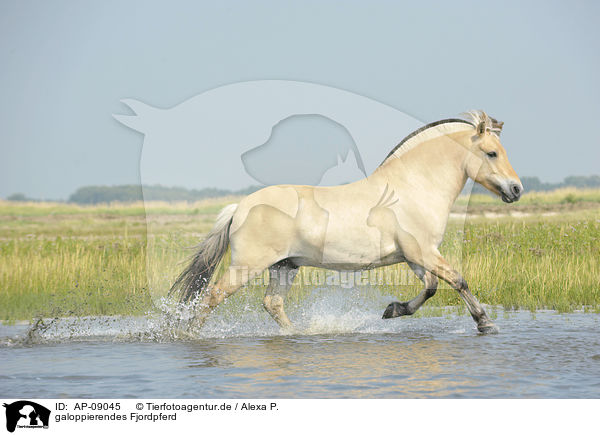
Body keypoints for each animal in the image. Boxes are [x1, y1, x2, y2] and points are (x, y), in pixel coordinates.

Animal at [169, 110, 520, 336]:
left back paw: (300, 332)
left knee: (272, 303)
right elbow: (458, 281)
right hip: (248, 266)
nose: (516, 189)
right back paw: (190, 335)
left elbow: (431, 289)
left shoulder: (416, 257)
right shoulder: (423, 252)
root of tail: (240, 207)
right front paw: (486, 323)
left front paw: (392, 310)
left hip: (285, 266)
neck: (414, 186)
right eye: (491, 153)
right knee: (213, 296)